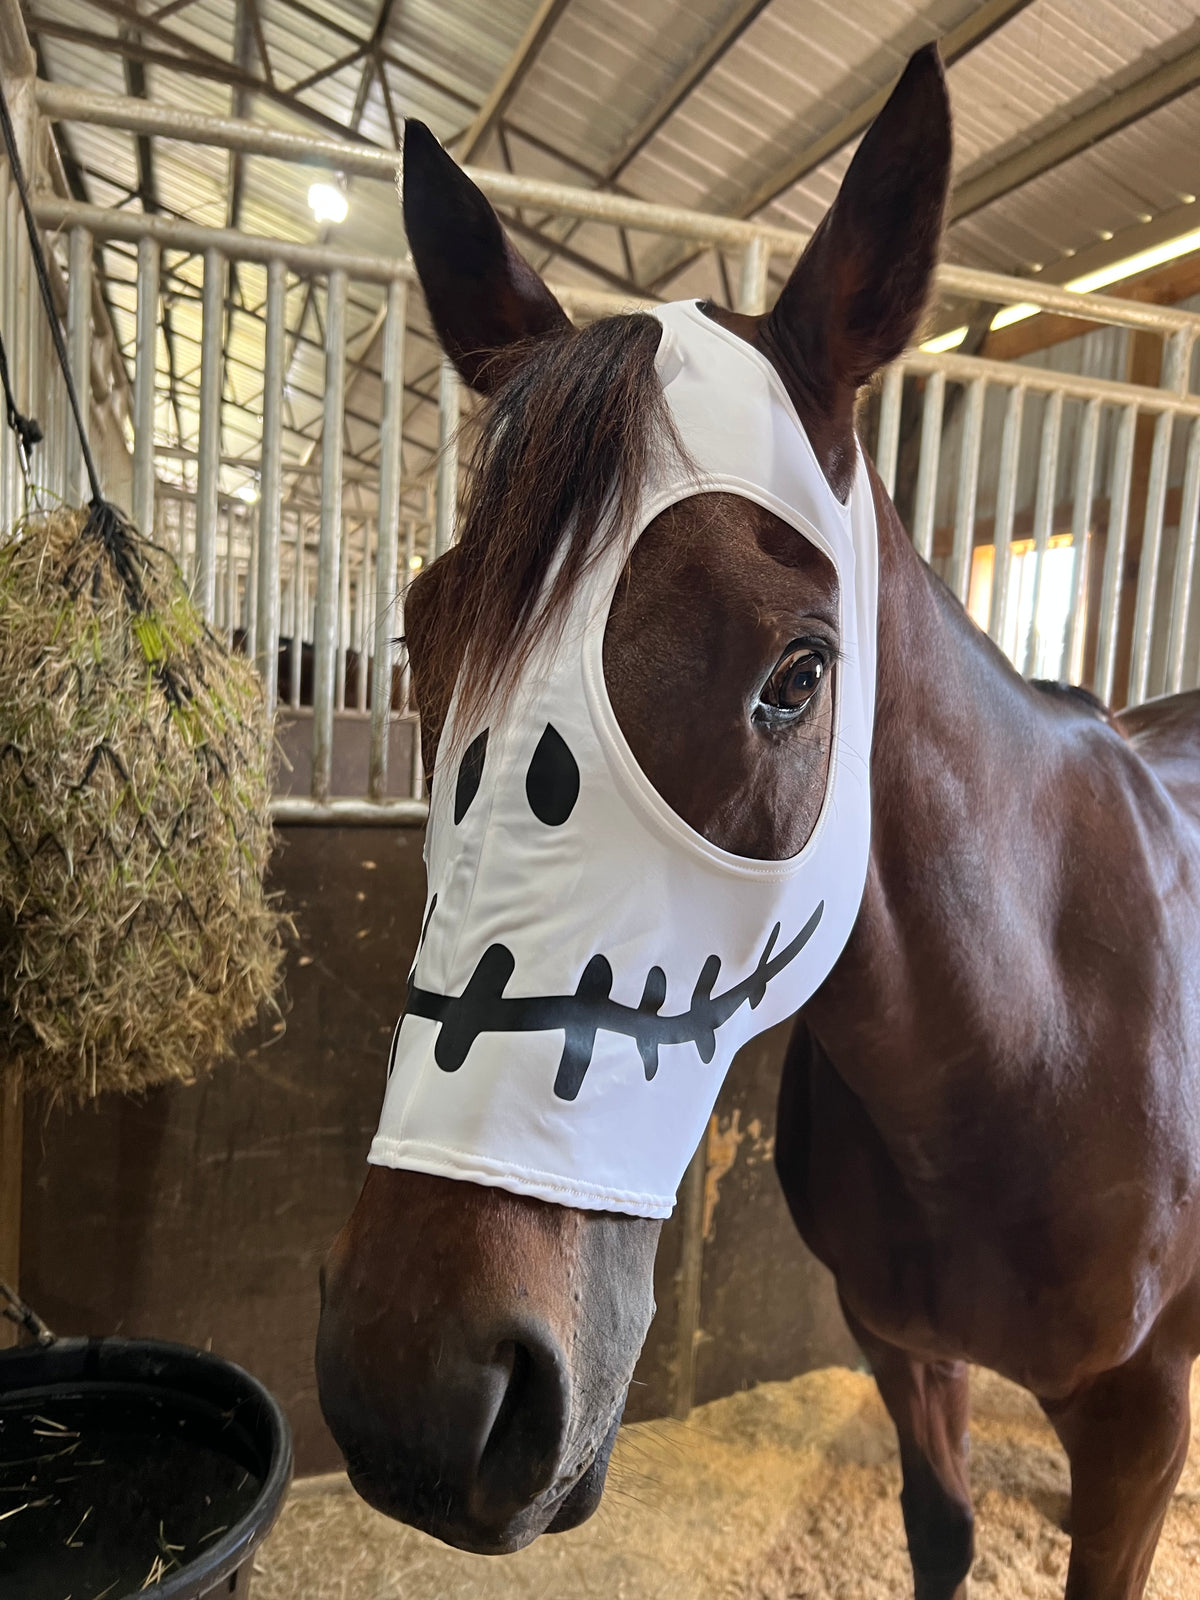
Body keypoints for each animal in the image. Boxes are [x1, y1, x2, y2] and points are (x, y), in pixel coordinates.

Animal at [315, 45, 1200, 1599]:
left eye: (798, 670)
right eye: (423, 632)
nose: (415, 1390)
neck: (1031, 1044)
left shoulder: (1143, 1422)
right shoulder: (902, 1354)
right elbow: (945, 1533)